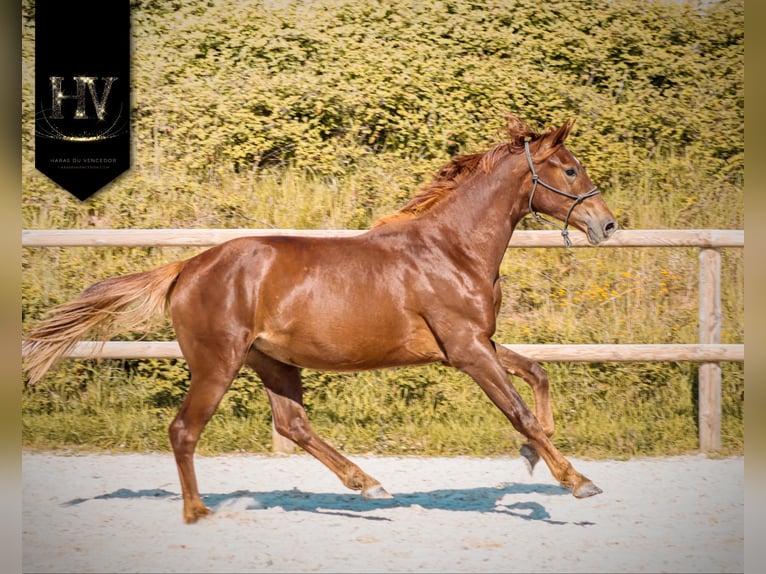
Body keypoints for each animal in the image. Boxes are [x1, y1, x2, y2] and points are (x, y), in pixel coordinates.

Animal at [23, 114, 617, 523]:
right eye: (570, 169)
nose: (607, 225)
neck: (452, 249)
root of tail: (187, 266)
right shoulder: (467, 351)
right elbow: (519, 411)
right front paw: (577, 479)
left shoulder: (478, 343)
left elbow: (537, 374)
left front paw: (534, 456)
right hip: (218, 363)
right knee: (184, 429)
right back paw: (198, 513)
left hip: (271, 361)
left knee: (293, 424)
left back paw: (369, 483)